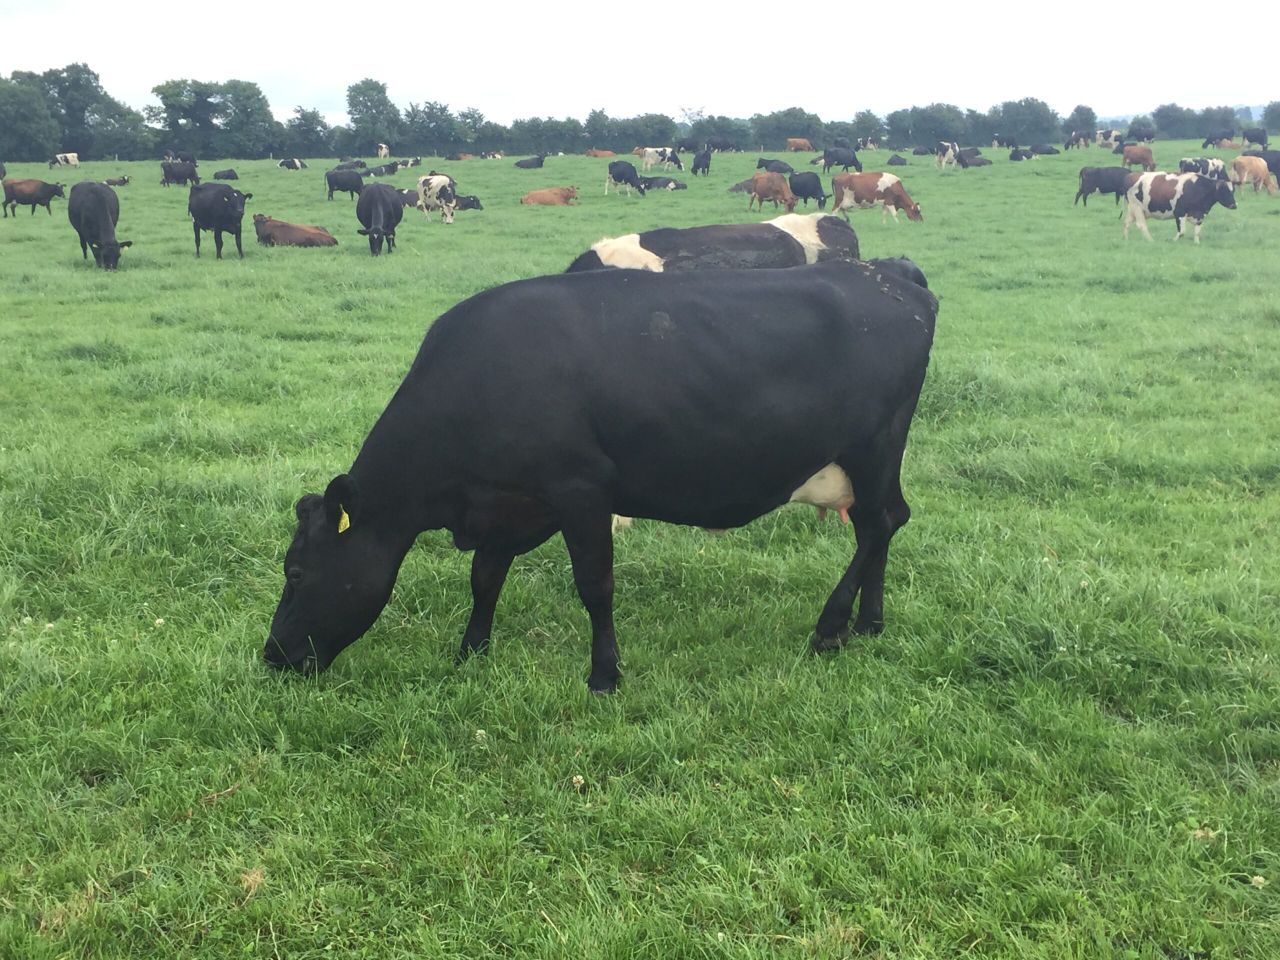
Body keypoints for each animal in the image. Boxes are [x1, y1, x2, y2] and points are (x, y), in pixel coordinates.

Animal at [261, 259, 938, 692]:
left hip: (874, 444)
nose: (271, 656)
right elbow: (484, 579)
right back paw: (869, 624)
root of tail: (889, 274)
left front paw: (604, 675)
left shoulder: (580, 491)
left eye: (296, 571)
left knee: (880, 524)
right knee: (882, 522)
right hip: (877, 456)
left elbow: (595, 586)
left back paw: (831, 627)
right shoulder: (509, 504)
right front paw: (471, 653)